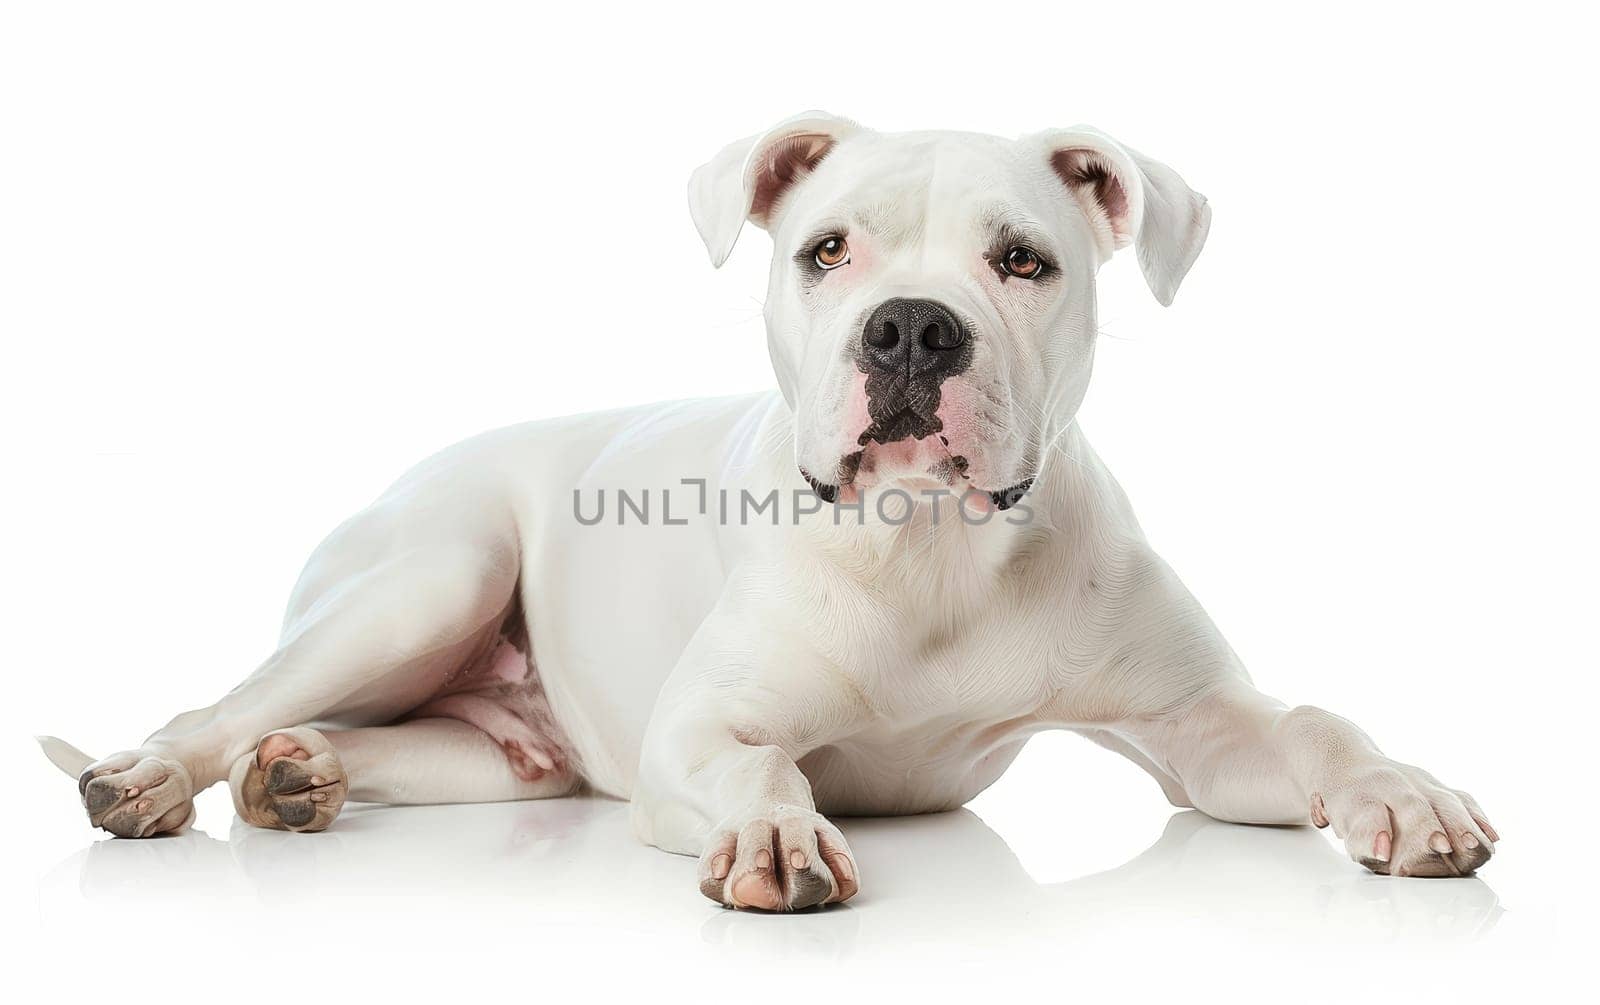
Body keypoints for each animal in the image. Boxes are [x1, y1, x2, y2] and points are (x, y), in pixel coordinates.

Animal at [43, 113, 1491, 908]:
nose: (910, 328)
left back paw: (298, 776)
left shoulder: (1200, 729)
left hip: (499, 745)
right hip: (429, 578)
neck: (929, 551)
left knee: (357, 739)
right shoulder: (701, 729)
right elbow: (758, 762)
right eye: (826, 251)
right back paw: (152, 777)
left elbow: (1310, 722)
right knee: (221, 707)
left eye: (1023, 260)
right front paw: (775, 829)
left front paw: (1405, 794)